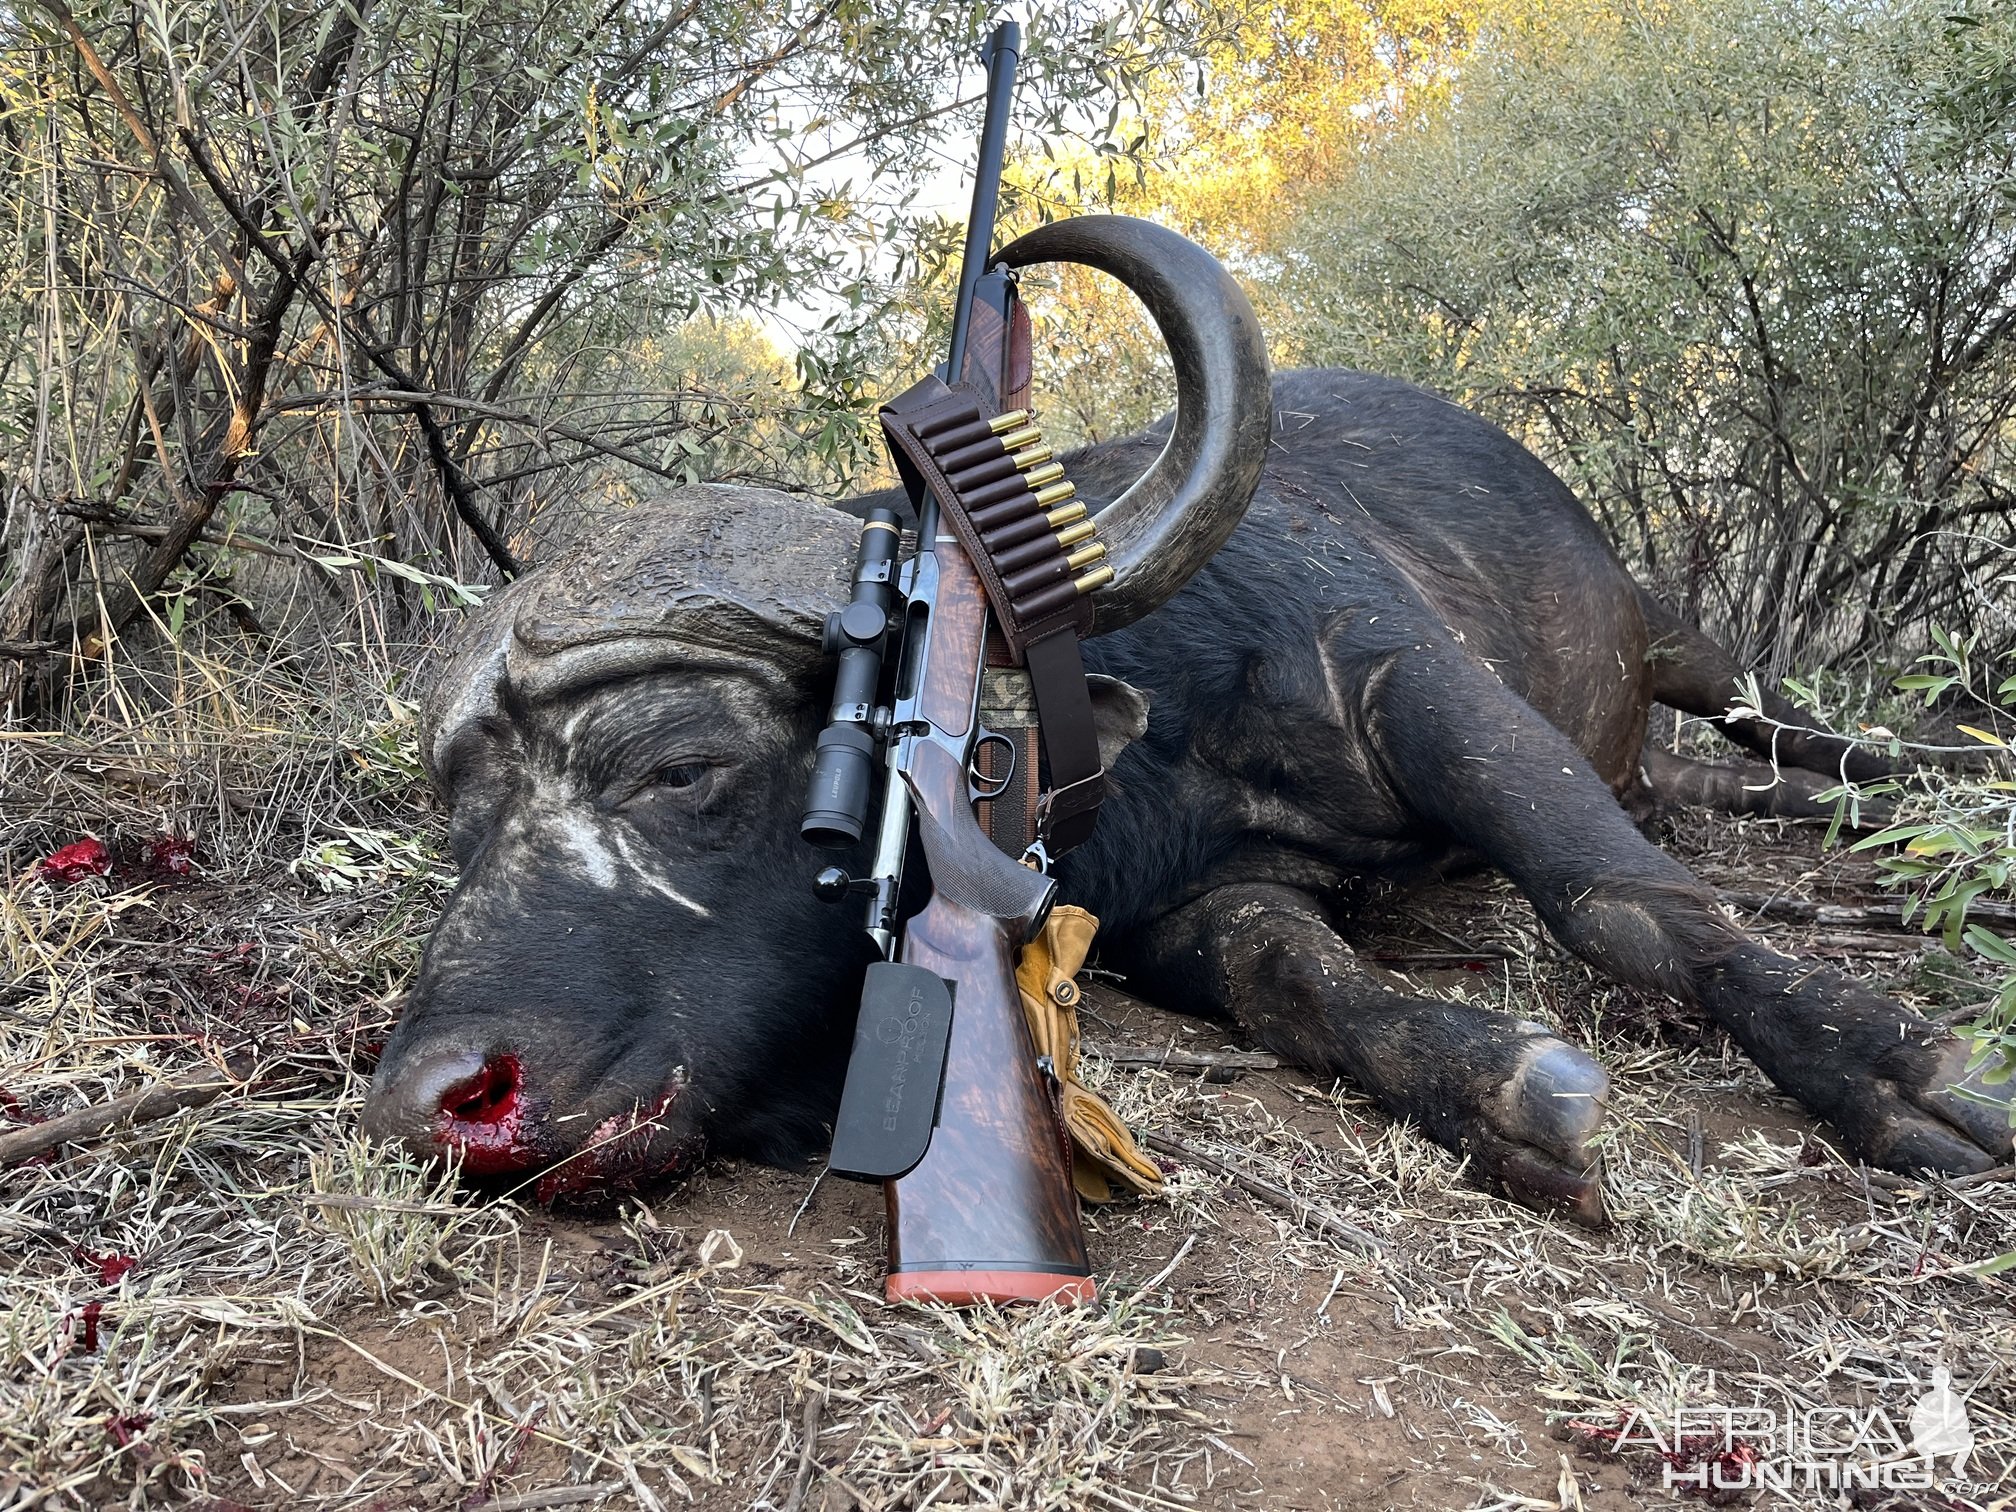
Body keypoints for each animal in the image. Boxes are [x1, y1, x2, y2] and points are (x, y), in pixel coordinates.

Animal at [366, 218, 2016, 1225]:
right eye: (461, 827)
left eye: (677, 766)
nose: (438, 1100)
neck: (1156, 728)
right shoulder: (1202, 908)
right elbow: (1309, 994)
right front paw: (1506, 1094)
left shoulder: (1410, 679)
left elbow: (1620, 904)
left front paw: (1915, 1078)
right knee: (1726, 793)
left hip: (1682, 639)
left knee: (1791, 741)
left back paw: (1941, 785)